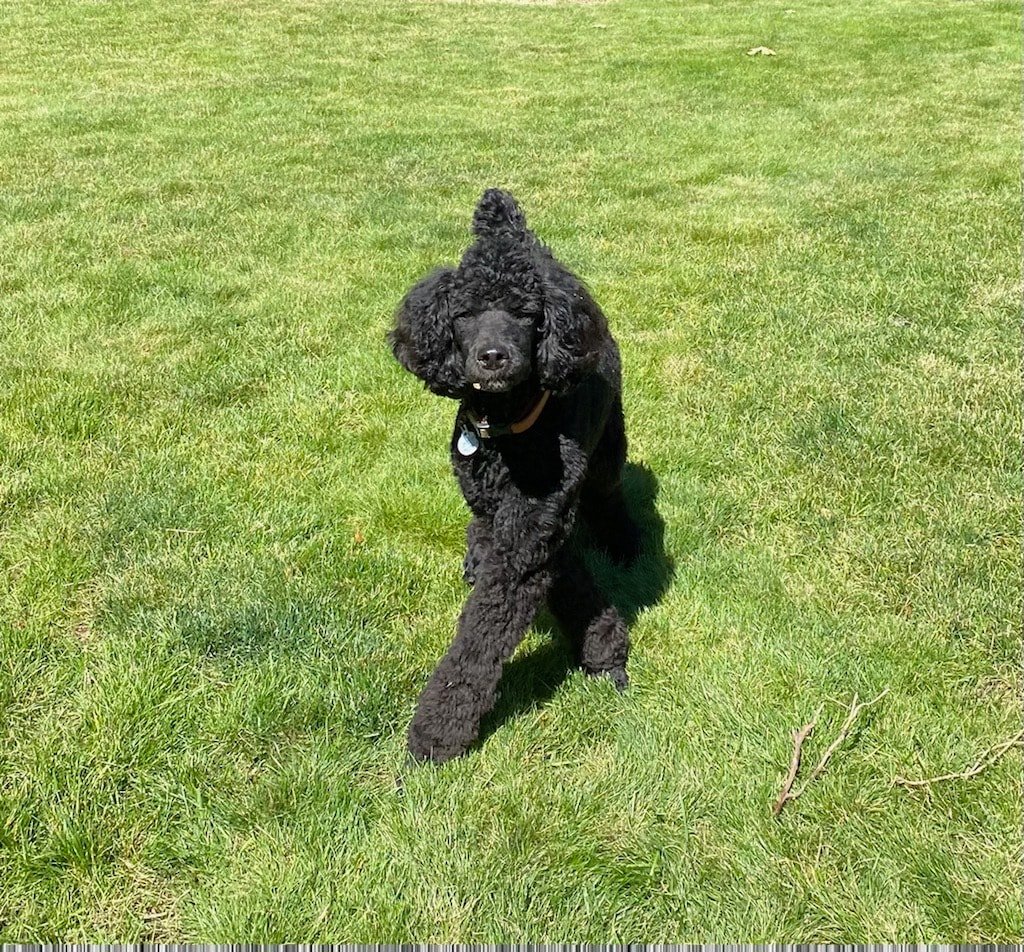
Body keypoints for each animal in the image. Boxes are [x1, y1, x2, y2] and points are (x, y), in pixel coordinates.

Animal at [388, 188, 641, 763]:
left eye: (525, 314)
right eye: (464, 314)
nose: (492, 357)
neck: (506, 429)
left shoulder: (536, 525)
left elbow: (482, 636)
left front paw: (437, 732)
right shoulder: (519, 517)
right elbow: (557, 575)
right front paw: (604, 643)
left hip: (608, 449)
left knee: (609, 494)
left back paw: (625, 544)